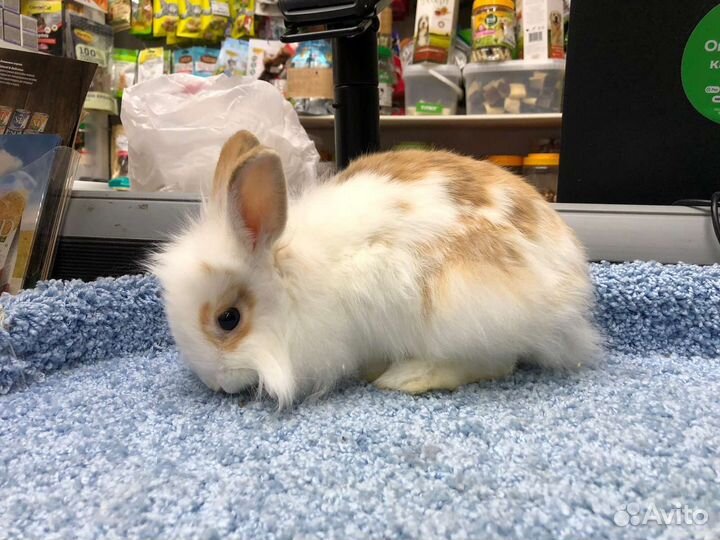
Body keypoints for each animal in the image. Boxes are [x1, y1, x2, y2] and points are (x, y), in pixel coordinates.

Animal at [151, 130, 601, 408]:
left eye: (228, 319)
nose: (215, 383)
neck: (295, 276)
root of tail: (572, 287)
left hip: (462, 308)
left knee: (496, 362)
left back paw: (405, 377)